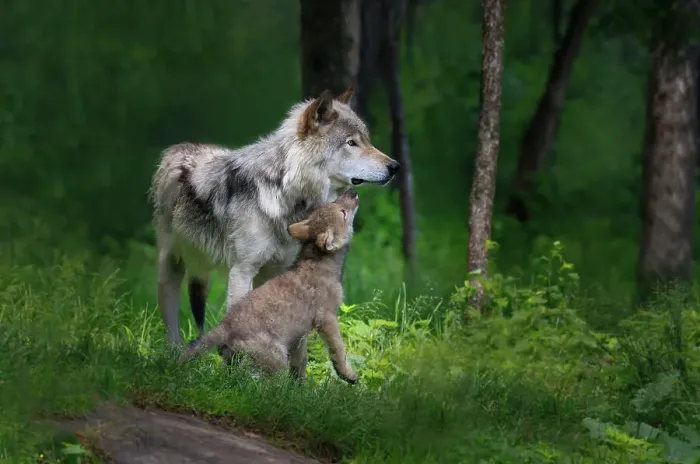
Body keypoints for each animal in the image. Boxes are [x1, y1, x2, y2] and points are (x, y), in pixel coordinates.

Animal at [150, 87, 399, 347]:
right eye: (351, 143)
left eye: (367, 140)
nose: (395, 166)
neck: (284, 192)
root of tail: (178, 148)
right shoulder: (242, 271)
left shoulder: (278, 270)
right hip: (171, 267)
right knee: (171, 318)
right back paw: (174, 352)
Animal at [178, 189, 361, 384]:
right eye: (343, 213)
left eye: (333, 202)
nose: (352, 192)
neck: (318, 261)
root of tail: (226, 325)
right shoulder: (326, 317)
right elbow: (339, 349)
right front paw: (348, 375)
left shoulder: (300, 334)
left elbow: (301, 360)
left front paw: (301, 385)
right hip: (277, 359)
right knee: (268, 385)